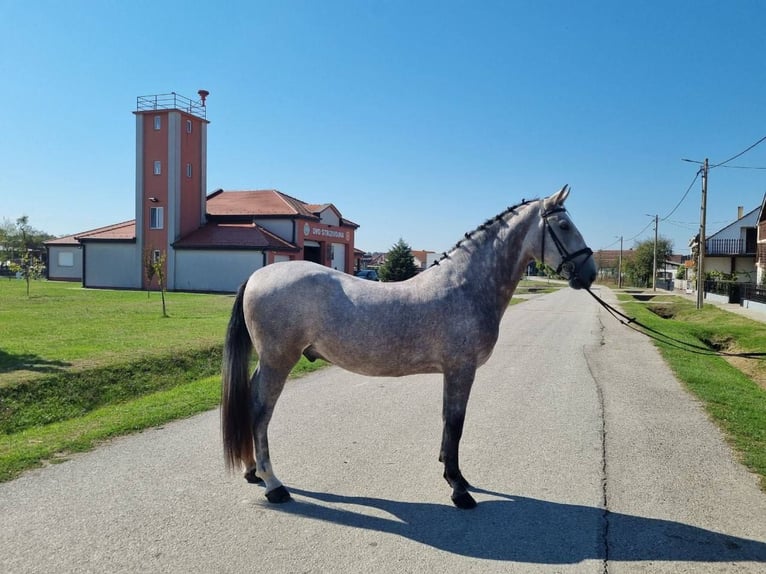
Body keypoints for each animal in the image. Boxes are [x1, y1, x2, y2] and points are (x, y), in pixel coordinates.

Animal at [222, 184, 600, 508]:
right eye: (564, 225)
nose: (591, 273)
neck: (465, 286)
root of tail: (256, 276)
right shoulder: (461, 370)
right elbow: (455, 423)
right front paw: (459, 488)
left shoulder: (453, 372)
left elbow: (448, 422)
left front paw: (452, 473)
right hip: (279, 361)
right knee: (261, 412)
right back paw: (274, 485)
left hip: (269, 361)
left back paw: (253, 471)